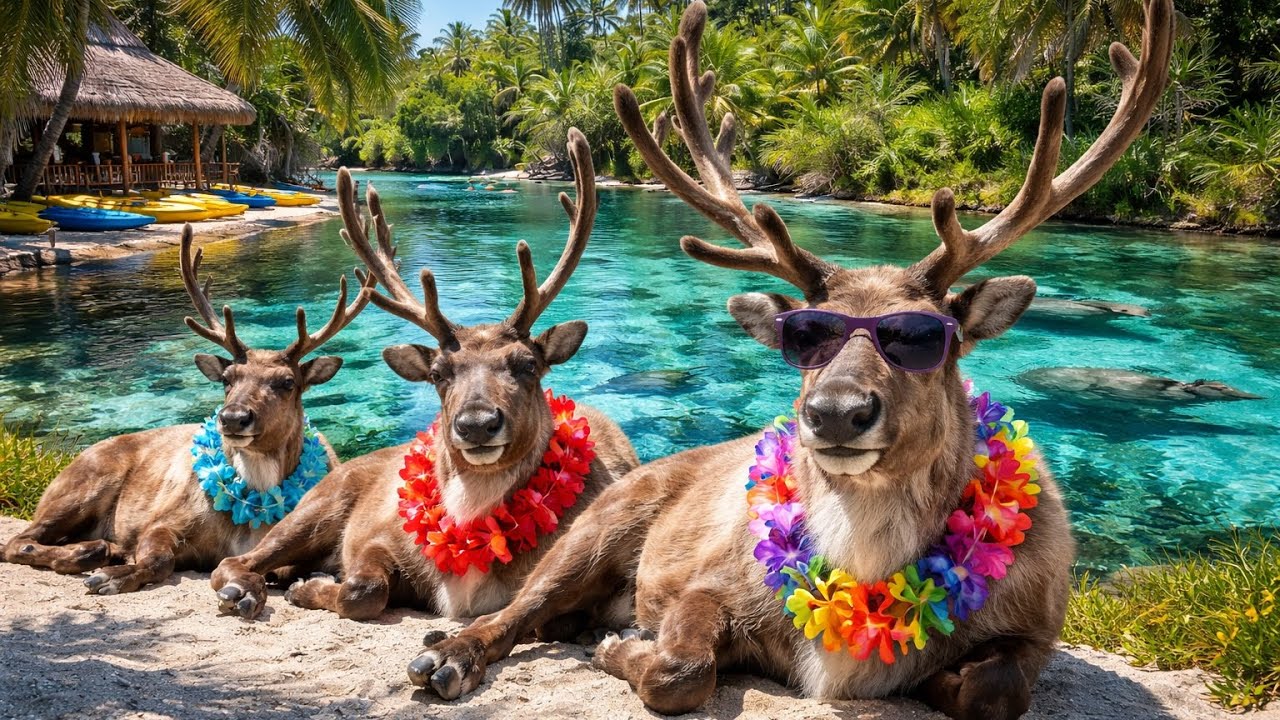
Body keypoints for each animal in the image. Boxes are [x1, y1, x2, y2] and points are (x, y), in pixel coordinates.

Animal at [2, 225, 374, 595]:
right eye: (227, 378)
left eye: (287, 382)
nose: (233, 417)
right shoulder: (165, 519)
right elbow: (158, 559)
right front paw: (112, 577)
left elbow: (285, 570)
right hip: (82, 485)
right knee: (18, 541)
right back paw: (90, 552)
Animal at [209, 129, 640, 624]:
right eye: (438, 373)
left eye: (528, 365)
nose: (476, 424)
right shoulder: (377, 535)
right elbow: (363, 588)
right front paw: (312, 588)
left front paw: (309, 585)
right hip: (317, 505)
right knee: (235, 560)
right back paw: (246, 589)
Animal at [404, 2, 1173, 718]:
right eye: (806, 336)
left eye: (927, 337)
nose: (835, 412)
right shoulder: (707, 584)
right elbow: (679, 670)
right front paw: (624, 650)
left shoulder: (1037, 626)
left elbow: (993, 691)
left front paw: (944, 677)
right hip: (596, 526)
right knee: (517, 610)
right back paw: (447, 655)